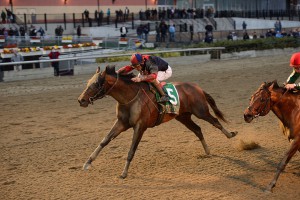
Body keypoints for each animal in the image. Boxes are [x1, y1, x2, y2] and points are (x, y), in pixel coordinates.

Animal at [78, 65, 238, 178]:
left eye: (96, 84)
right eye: (88, 82)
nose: (81, 100)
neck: (129, 98)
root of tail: (197, 87)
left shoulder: (140, 126)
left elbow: (131, 150)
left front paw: (124, 173)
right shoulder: (121, 123)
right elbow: (104, 141)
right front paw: (87, 163)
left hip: (201, 111)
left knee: (215, 121)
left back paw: (230, 134)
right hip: (183, 117)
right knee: (197, 129)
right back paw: (207, 151)